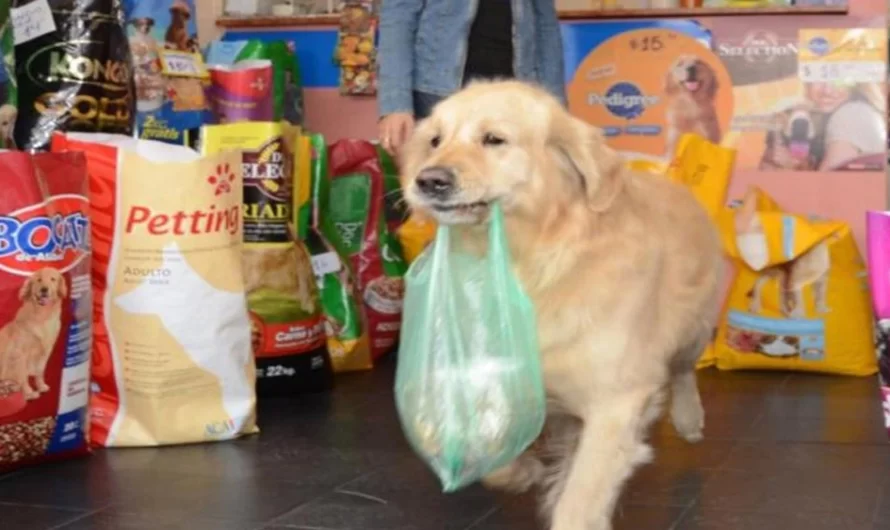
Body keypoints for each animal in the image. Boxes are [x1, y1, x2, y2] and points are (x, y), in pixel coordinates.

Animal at [0, 268, 67, 396]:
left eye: (53, 279)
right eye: (39, 280)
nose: (44, 289)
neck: (42, 317)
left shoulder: (46, 351)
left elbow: (39, 372)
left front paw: (41, 386)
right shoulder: (20, 352)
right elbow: (23, 376)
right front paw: (28, 393)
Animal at [398, 81, 720, 528]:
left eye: (493, 139)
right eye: (435, 140)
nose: (428, 180)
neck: (534, 266)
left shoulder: (616, 401)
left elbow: (580, 499)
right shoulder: (499, 377)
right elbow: (481, 448)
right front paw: (522, 472)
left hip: (694, 330)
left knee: (683, 370)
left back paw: (690, 420)